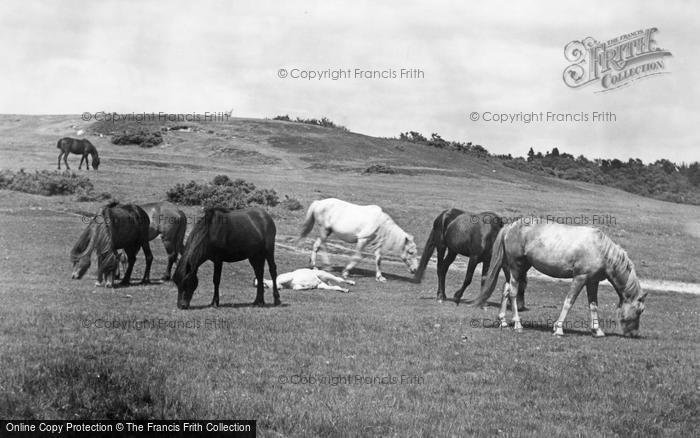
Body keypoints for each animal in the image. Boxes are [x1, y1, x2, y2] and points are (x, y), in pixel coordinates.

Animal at [470, 217, 644, 338]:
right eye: (639, 311)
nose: (634, 334)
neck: (599, 249)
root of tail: (509, 227)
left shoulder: (592, 282)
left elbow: (593, 306)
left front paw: (598, 330)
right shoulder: (580, 278)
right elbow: (569, 302)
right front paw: (558, 329)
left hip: (514, 270)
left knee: (505, 291)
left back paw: (503, 321)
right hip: (515, 268)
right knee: (512, 293)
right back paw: (517, 324)